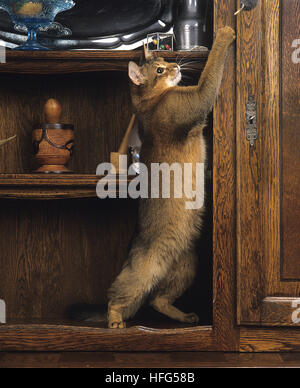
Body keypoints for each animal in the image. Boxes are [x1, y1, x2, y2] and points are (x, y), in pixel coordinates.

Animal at [67, 25, 236, 328]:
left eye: (165, 62)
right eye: (159, 70)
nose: (175, 66)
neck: (150, 105)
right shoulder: (197, 100)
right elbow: (211, 70)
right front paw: (225, 33)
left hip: (186, 265)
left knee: (157, 299)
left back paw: (185, 317)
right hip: (145, 269)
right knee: (118, 295)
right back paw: (115, 321)